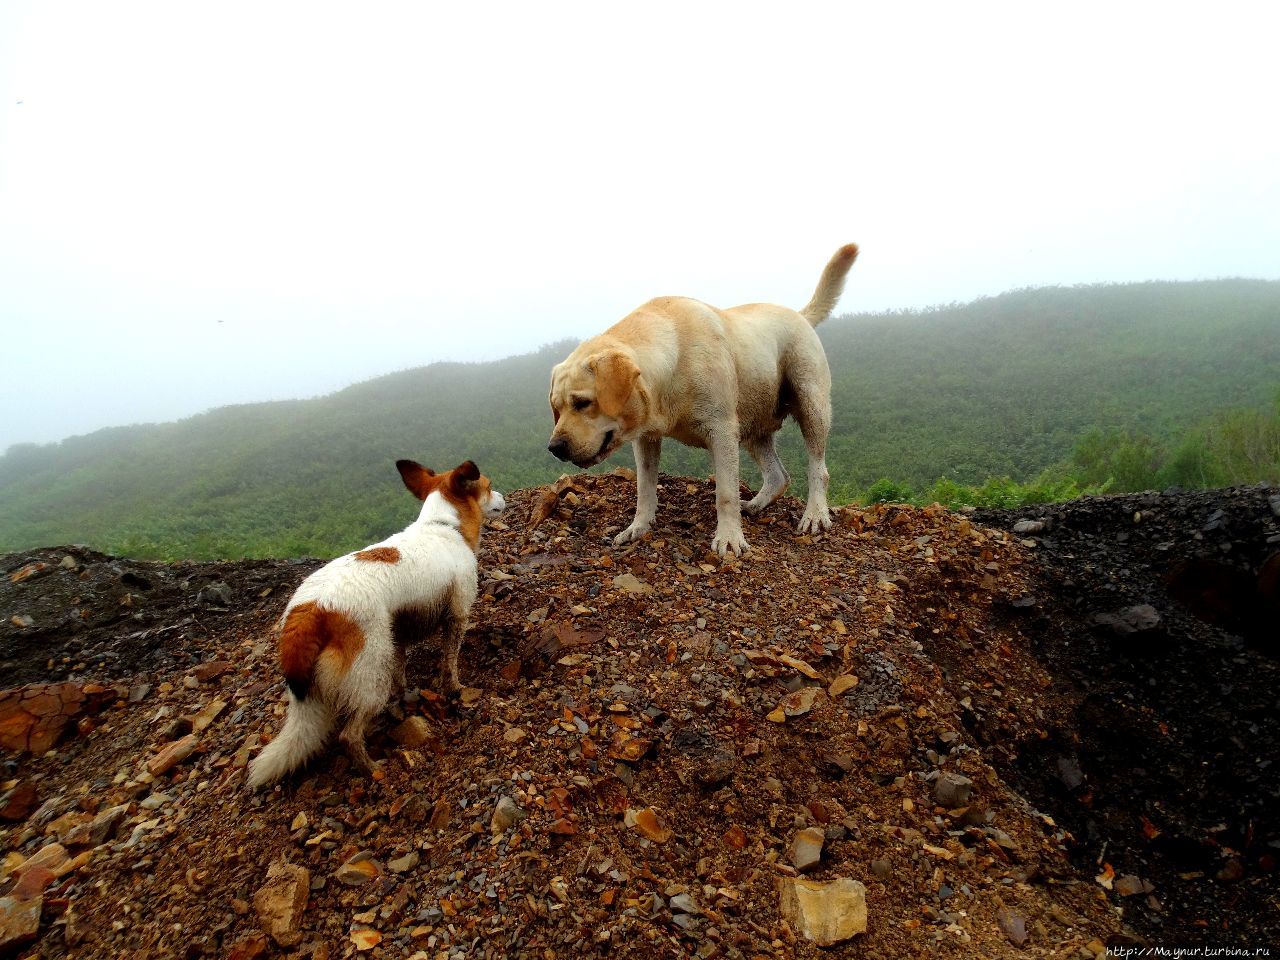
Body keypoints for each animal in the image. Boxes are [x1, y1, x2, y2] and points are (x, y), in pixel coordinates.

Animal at [247, 460, 506, 788]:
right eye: (489, 486)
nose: (504, 496)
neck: (444, 526)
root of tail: (310, 610)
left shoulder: (399, 632)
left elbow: (401, 671)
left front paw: (405, 694)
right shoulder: (457, 614)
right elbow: (450, 663)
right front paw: (456, 688)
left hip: (318, 693)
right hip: (370, 674)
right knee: (349, 736)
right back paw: (374, 770)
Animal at [542, 244, 855, 560]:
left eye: (582, 402)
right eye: (557, 407)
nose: (555, 448)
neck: (673, 360)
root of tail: (799, 315)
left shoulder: (723, 432)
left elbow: (726, 494)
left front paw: (729, 538)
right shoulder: (646, 439)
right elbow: (645, 489)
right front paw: (638, 527)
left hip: (811, 405)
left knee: (818, 469)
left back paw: (815, 514)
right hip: (753, 425)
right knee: (779, 476)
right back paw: (755, 506)